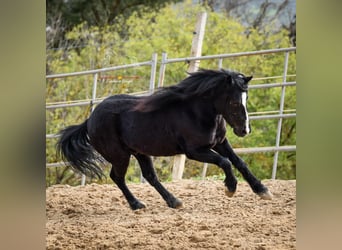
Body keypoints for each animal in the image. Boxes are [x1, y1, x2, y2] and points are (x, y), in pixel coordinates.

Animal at [57, 68, 274, 209]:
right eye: (235, 102)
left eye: (246, 98)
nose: (244, 130)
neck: (196, 112)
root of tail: (90, 120)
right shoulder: (194, 151)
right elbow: (226, 162)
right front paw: (230, 188)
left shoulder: (220, 143)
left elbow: (239, 162)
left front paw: (263, 190)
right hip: (120, 155)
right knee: (117, 177)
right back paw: (137, 204)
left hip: (140, 152)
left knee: (150, 176)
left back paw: (173, 201)